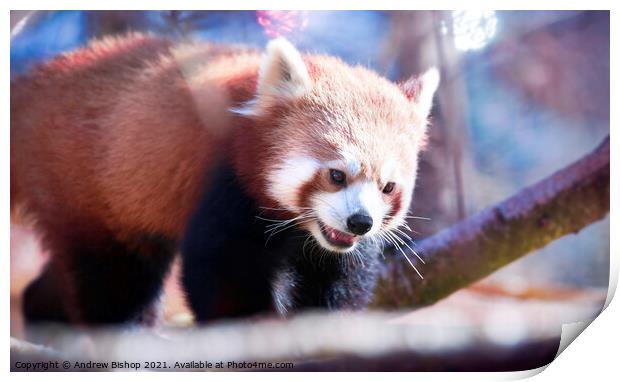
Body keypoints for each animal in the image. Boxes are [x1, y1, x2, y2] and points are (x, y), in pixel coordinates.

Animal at [9, 33, 438, 326]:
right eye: (336, 175)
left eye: (388, 187)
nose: (360, 222)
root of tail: (40, 85)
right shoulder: (225, 183)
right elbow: (221, 271)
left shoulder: (334, 249)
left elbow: (339, 278)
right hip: (84, 186)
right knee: (114, 279)